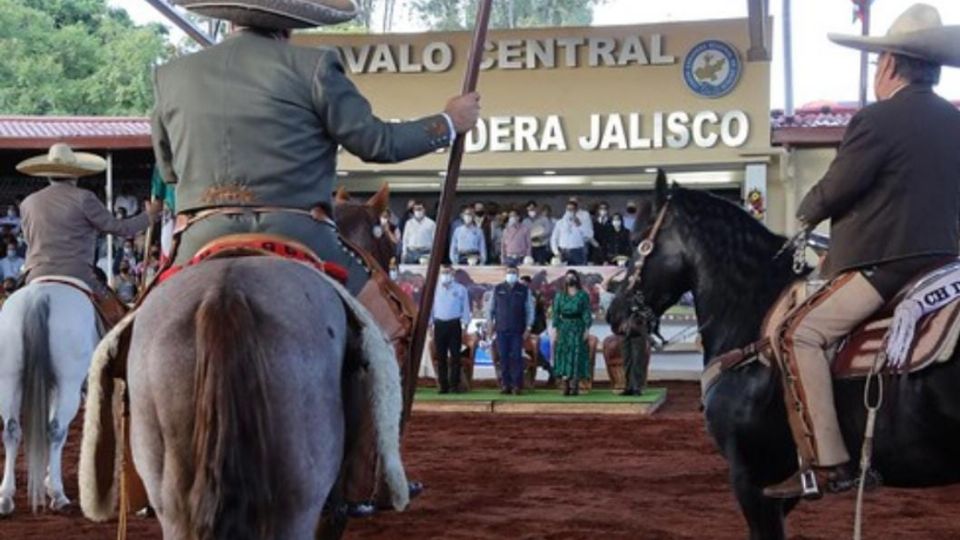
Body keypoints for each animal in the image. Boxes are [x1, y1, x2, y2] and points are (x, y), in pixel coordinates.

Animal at [0, 278, 99, 516]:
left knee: (11, 431)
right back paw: (58, 494)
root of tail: (39, 297)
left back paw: (6, 497)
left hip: (8, 380)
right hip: (68, 385)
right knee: (56, 431)